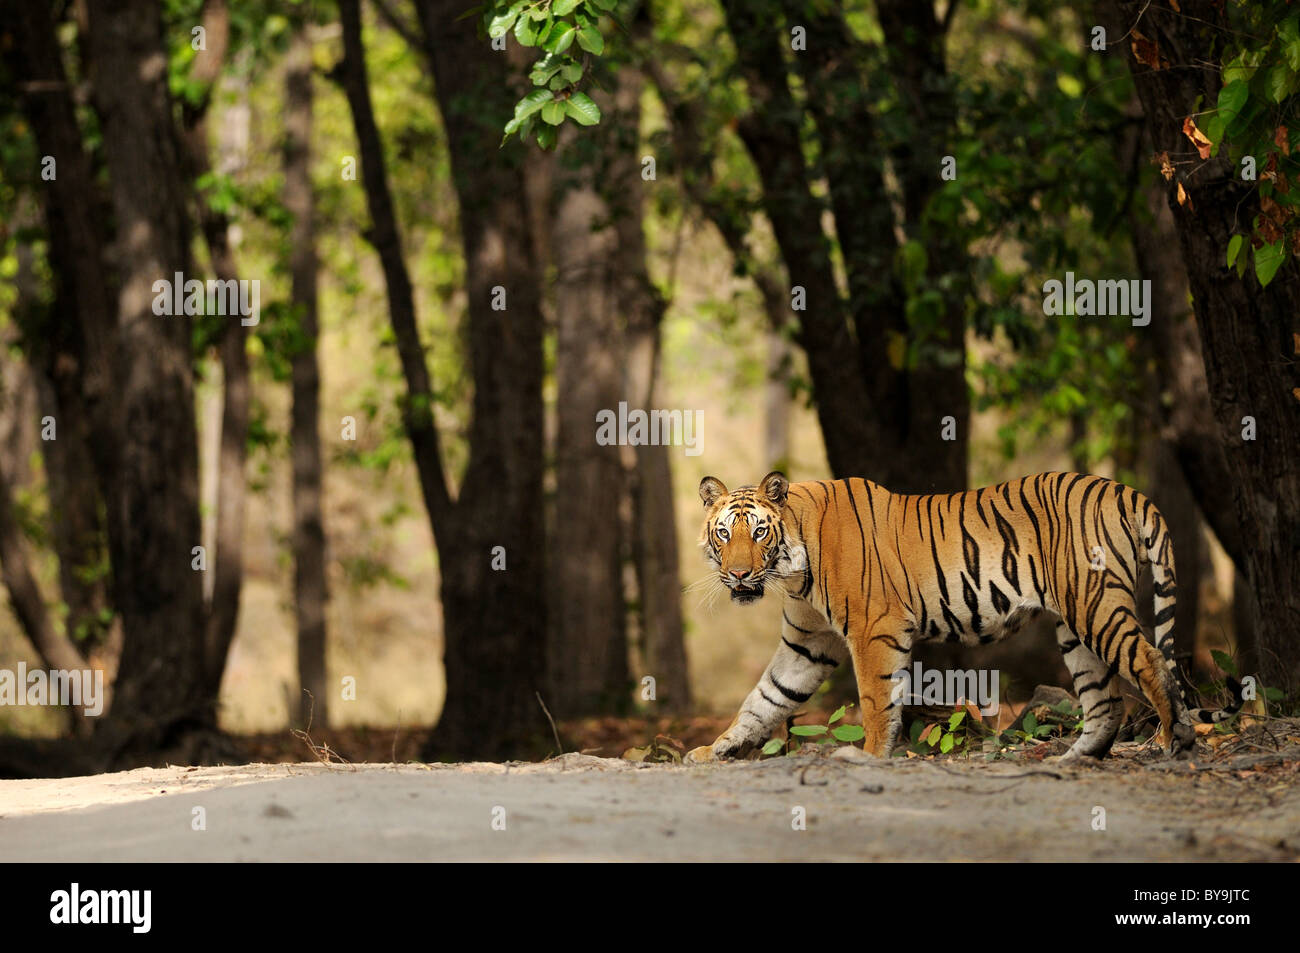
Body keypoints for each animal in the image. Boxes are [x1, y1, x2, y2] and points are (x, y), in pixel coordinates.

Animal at [686, 470, 1242, 764]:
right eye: (724, 533)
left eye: (759, 532)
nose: (738, 574)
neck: (793, 568)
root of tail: (1124, 489)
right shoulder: (806, 645)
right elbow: (763, 699)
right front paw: (712, 750)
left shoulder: (875, 630)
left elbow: (875, 700)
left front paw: (870, 755)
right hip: (1075, 628)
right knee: (1104, 698)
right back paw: (1074, 758)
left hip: (1096, 605)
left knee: (1150, 660)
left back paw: (1172, 740)